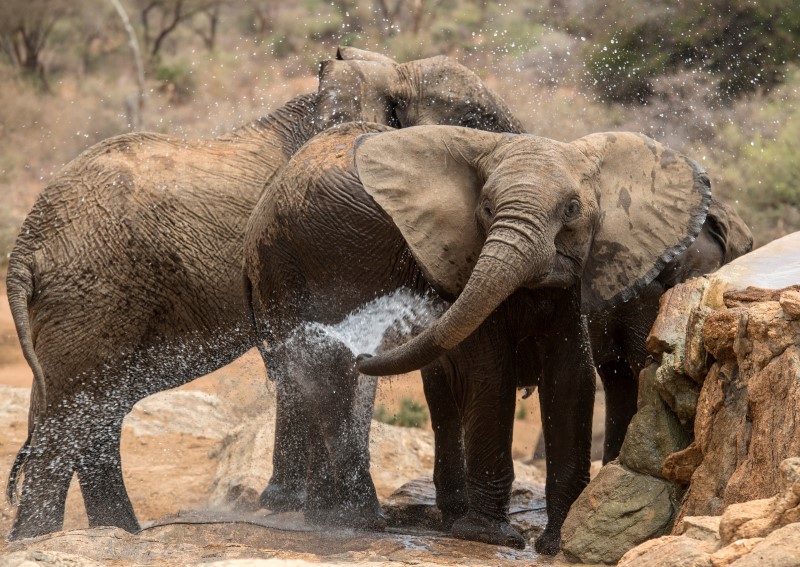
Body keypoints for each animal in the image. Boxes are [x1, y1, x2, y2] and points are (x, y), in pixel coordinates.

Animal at [4, 45, 524, 540]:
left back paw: (113, 531)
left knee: (92, 408)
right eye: (479, 120)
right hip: (94, 290)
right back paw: (43, 537)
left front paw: (292, 506)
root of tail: (27, 243)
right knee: (76, 407)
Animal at [241, 122, 708, 552]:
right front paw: (491, 538)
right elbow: (490, 372)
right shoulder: (463, 258)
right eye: (485, 207)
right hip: (307, 255)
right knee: (330, 371)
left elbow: (570, 376)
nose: (367, 353)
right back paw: (359, 520)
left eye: (573, 209)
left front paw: (556, 544)